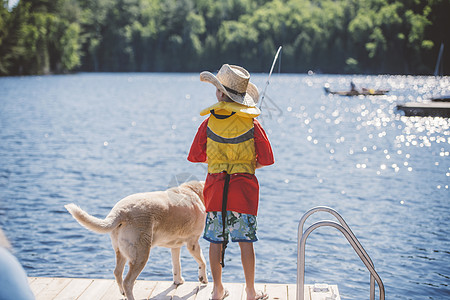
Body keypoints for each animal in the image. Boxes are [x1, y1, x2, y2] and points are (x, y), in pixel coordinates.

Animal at [64, 180, 207, 300]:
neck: (194, 192)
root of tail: (120, 211)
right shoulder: (193, 243)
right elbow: (203, 262)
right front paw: (203, 279)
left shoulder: (175, 246)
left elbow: (176, 266)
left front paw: (178, 281)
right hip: (141, 254)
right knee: (128, 282)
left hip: (121, 251)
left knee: (117, 273)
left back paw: (122, 292)